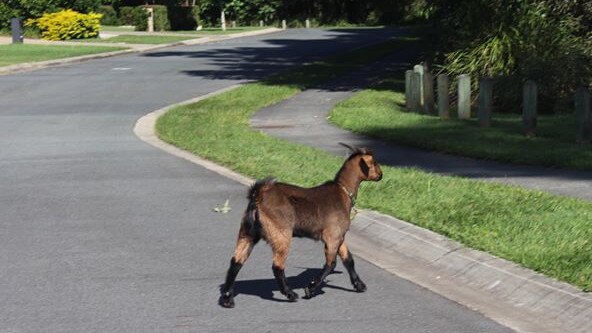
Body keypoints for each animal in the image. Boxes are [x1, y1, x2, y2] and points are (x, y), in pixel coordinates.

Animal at [220, 143, 382, 306]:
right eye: (374, 162)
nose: (381, 175)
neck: (343, 192)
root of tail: (258, 196)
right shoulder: (332, 236)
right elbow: (331, 263)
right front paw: (310, 288)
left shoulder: (339, 236)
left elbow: (348, 259)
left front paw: (359, 285)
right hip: (281, 233)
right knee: (277, 265)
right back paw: (290, 294)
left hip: (248, 232)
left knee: (236, 261)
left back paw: (227, 298)